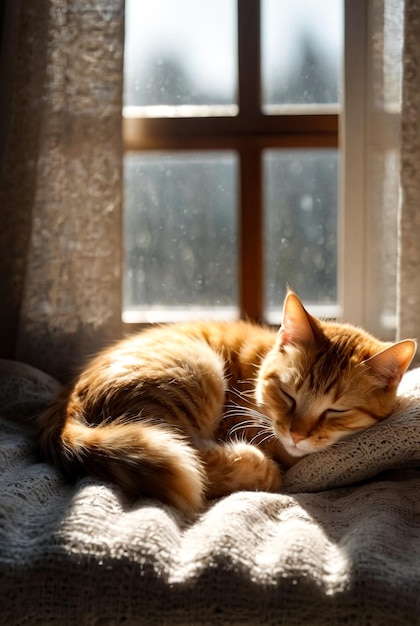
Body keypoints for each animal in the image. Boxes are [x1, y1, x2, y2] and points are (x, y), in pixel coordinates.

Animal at [37, 290, 416, 510]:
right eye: (288, 395)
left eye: (336, 410)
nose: (297, 435)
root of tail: (65, 415)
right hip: (197, 371)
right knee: (193, 458)